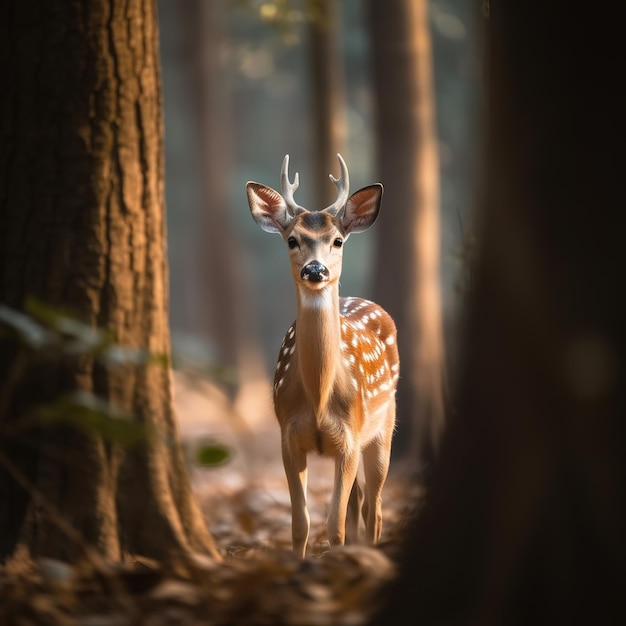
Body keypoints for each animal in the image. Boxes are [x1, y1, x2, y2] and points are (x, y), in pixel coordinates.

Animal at [245, 154, 398, 552]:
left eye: (338, 240)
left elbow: (335, 526)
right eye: (292, 239)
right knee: (360, 501)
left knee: (374, 505)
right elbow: (301, 524)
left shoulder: (349, 438)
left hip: (383, 426)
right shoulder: (288, 437)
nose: (315, 269)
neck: (318, 398)